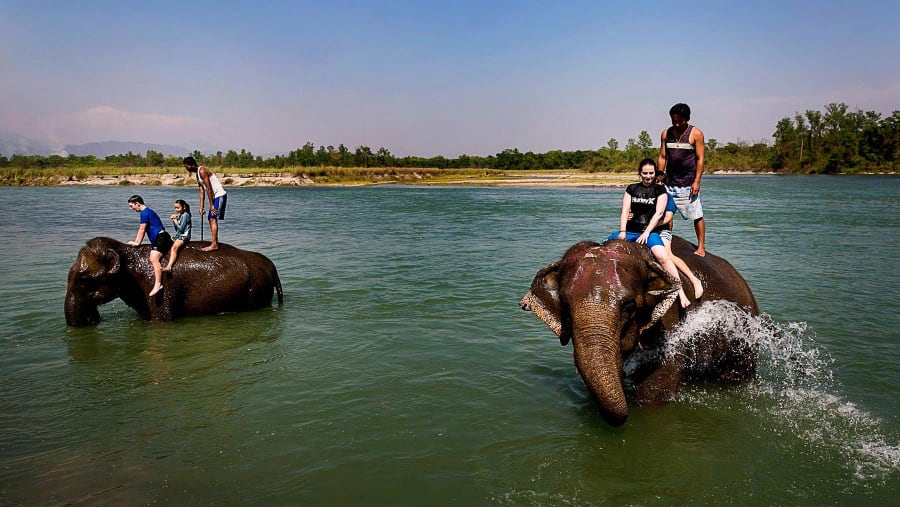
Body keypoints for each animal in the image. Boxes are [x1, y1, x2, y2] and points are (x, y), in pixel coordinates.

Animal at [65, 237, 283, 326]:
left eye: (83, 279)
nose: (93, 319)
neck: (126, 252)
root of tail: (271, 266)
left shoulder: (159, 287)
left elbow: (161, 319)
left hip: (255, 291)